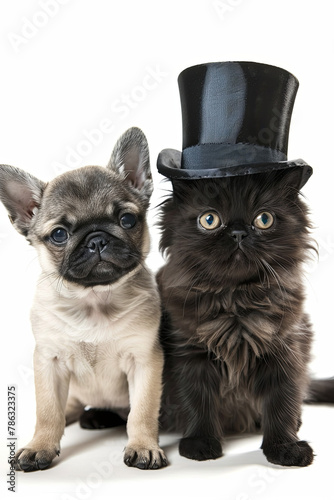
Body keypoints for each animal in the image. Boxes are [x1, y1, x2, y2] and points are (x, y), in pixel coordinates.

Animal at [0, 127, 167, 470]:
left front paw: (144, 445)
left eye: (127, 220)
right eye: (59, 235)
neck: (95, 302)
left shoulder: (145, 361)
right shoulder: (48, 362)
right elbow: (47, 411)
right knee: (69, 407)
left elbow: (143, 411)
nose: (97, 239)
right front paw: (40, 445)